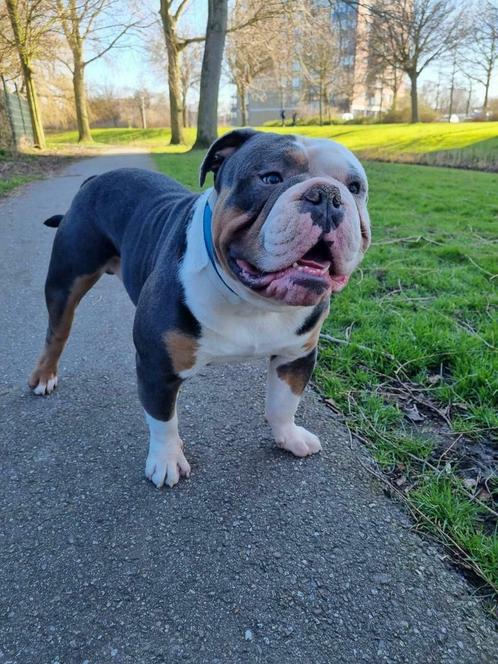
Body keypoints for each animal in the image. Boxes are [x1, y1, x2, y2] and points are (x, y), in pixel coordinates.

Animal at [28, 128, 370, 488]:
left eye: (354, 187)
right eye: (270, 178)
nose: (327, 195)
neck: (250, 301)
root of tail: (95, 178)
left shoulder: (296, 357)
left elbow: (284, 402)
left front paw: (288, 436)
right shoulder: (157, 367)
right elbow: (162, 419)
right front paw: (166, 460)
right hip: (66, 280)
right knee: (57, 332)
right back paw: (44, 376)